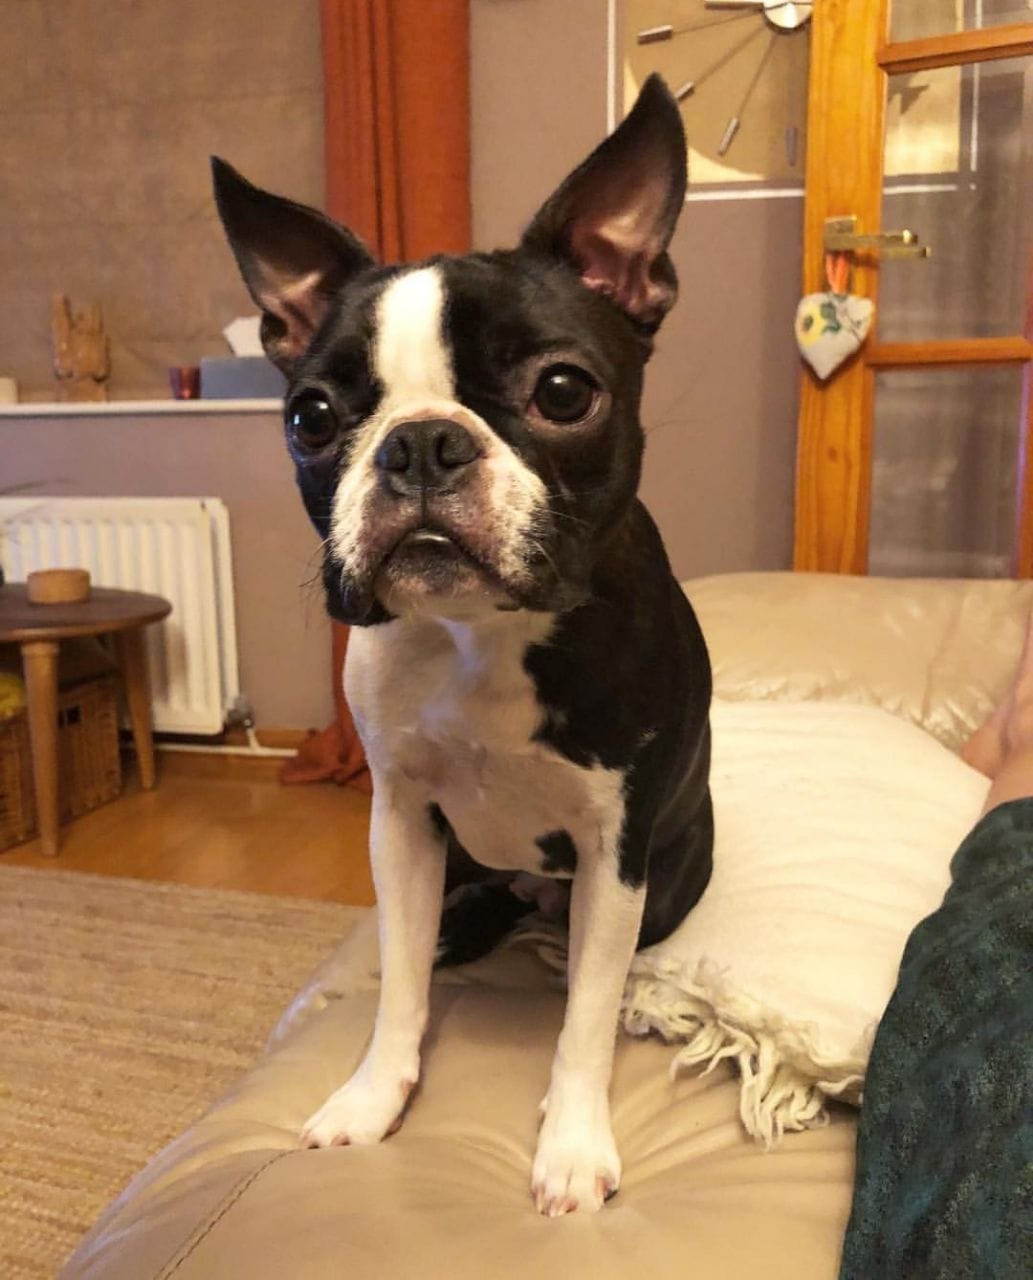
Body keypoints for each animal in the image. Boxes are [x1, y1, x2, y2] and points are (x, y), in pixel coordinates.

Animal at [212, 74, 713, 1218]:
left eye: (563, 391)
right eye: (310, 416)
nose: (420, 442)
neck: (480, 633)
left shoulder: (613, 844)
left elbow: (584, 1018)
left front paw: (572, 1142)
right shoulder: (400, 820)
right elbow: (396, 987)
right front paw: (372, 1096)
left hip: (668, 869)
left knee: (601, 956)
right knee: (459, 919)